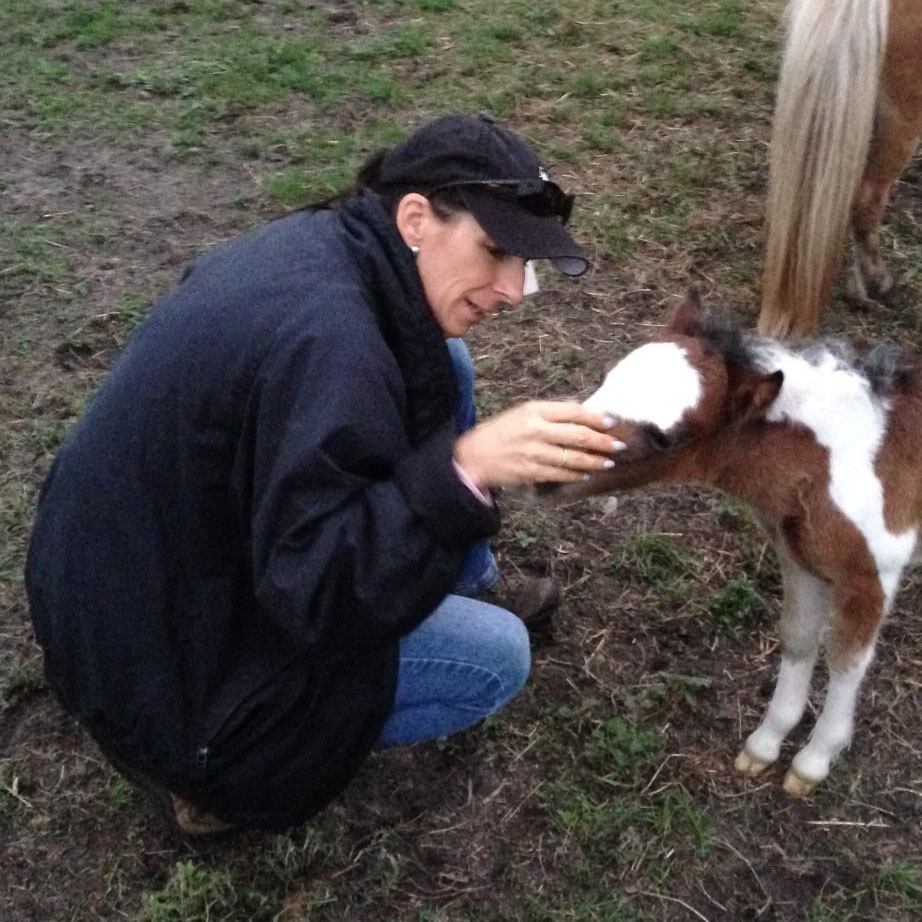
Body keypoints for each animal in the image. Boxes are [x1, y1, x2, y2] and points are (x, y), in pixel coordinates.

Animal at [549, 290, 922, 796]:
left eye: (662, 438)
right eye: (607, 379)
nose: (542, 476)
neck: (841, 460)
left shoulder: (871, 575)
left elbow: (846, 663)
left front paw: (813, 762)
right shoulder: (799, 558)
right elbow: (799, 638)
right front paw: (764, 746)